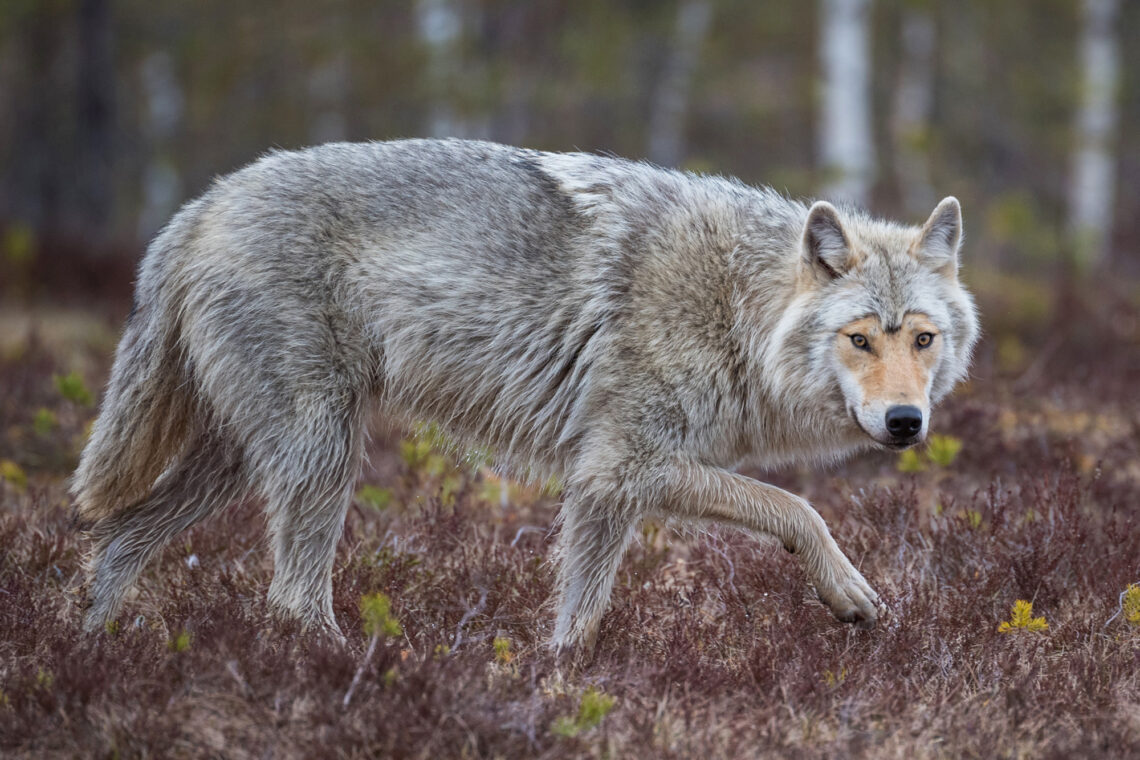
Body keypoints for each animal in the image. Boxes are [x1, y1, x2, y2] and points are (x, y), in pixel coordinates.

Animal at [73, 136, 980, 647]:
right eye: (860, 338)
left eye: (922, 339)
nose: (906, 421)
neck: (734, 306)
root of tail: (199, 205)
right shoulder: (619, 467)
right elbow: (797, 508)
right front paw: (849, 592)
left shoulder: (607, 488)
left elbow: (579, 613)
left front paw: (560, 682)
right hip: (320, 455)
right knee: (291, 598)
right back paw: (351, 666)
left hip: (237, 460)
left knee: (116, 539)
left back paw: (82, 653)